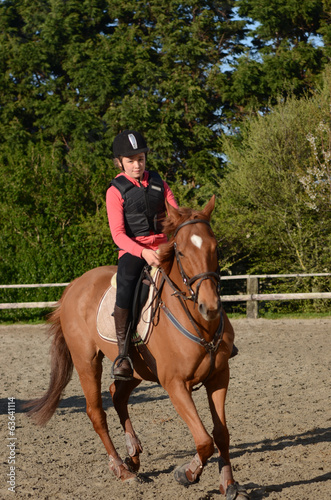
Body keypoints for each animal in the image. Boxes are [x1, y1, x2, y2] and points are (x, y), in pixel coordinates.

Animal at [27, 197, 249, 498]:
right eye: (181, 251)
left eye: (215, 247)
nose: (210, 307)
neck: (199, 324)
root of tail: (74, 286)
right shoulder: (175, 385)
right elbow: (204, 440)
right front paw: (187, 473)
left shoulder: (219, 377)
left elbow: (221, 434)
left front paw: (229, 485)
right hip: (87, 362)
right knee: (97, 412)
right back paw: (122, 469)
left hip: (136, 369)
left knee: (117, 395)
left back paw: (133, 454)